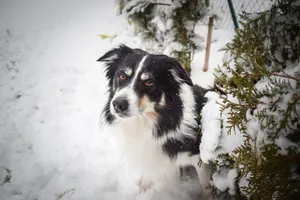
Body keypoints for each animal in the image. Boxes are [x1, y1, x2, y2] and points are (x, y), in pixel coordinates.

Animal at [98, 45, 211, 195]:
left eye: (149, 82)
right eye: (122, 76)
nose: (118, 104)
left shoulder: (200, 159)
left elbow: (206, 188)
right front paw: (142, 192)